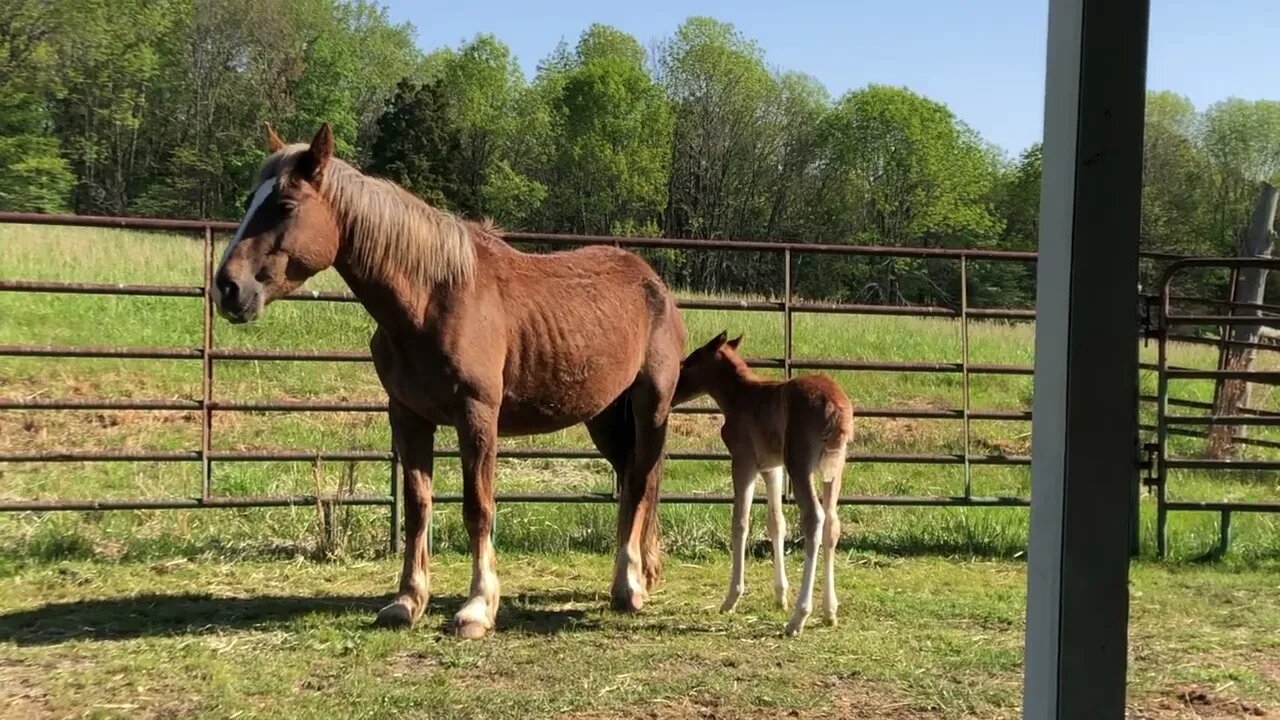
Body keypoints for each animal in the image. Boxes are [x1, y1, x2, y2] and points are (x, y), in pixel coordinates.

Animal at [215, 122, 686, 632]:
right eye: (250, 201)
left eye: (285, 205)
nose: (228, 288)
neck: (432, 299)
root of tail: (654, 282)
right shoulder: (408, 416)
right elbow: (417, 506)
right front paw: (407, 601)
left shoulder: (476, 415)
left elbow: (478, 507)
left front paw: (477, 606)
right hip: (602, 416)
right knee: (633, 477)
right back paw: (635, 576)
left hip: (650, 404)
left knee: (640, 482)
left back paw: (630, 587)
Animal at [675, 330, 855, 632]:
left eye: (689, 362)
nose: (672, 391)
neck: (740, 397)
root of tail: (835, 408)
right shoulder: (773, 467)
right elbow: (776, 522)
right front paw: (780, 596)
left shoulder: (743, 462)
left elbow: (740, 522)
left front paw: (732, 598)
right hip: (835, 468)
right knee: (832, 522)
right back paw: (829, 612)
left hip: (800, 464)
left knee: (814, 518)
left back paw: (799, 617)